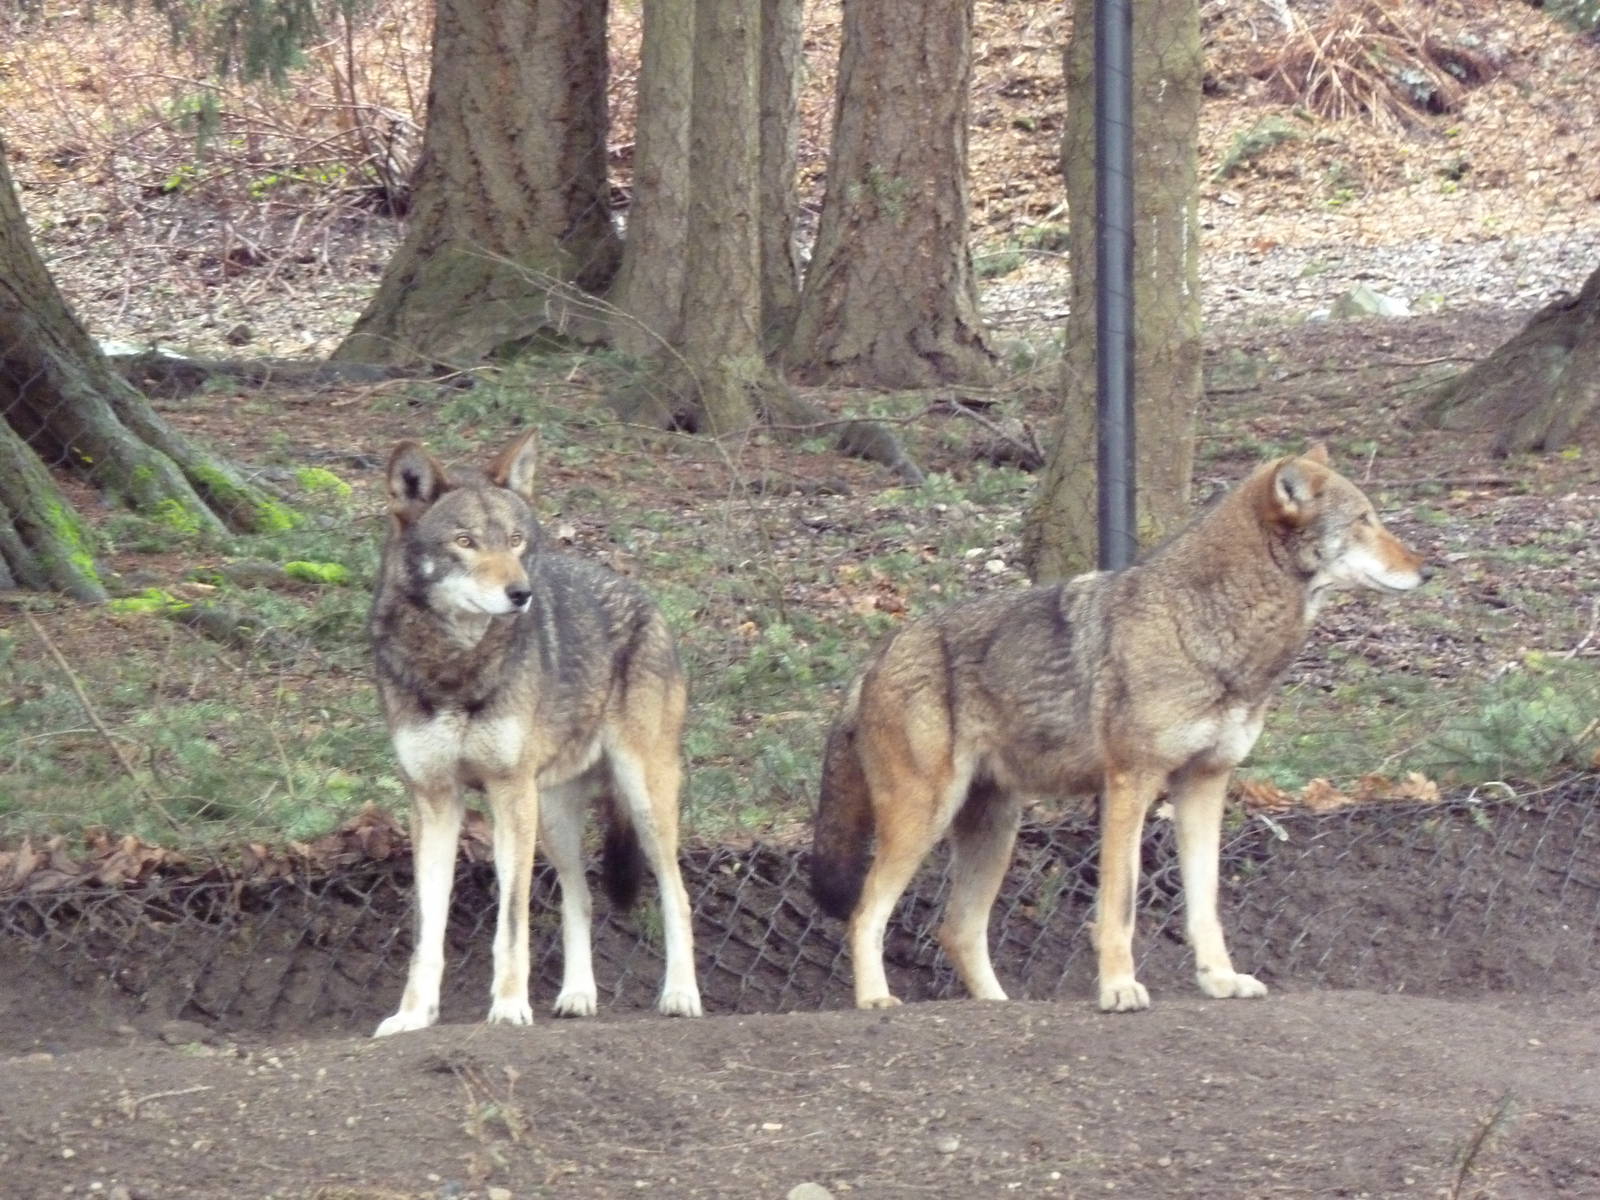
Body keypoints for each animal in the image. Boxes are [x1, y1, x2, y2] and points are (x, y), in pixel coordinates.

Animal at [370, 430, 702, 1036]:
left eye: (516, 540)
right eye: (465, 541)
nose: (521, 593)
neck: (455, 666)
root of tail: (645, 597)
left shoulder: (506, 793)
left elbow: (511, 919)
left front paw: (507, 1007)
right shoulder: (433, 801)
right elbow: (427, 929)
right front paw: (413, 1016)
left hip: (641, 798)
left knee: (676, 894)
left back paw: (681, 995)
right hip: (551, 817)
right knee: (582, 898)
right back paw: (577, 995)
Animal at [811, 445, 1427, 1012]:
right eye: (1365, 520)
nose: (1428, 570)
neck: (1206, 626)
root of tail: (876, 654)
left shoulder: (1205, 784)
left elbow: (1205, 906)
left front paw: (1221, 980)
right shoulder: (1130, 783)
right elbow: (1120, 906)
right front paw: (1118, 988)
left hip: (995, 830)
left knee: (956, 930)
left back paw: (996, 1005)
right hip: (924, 819)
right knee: (865, 912)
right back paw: (876, 1000)